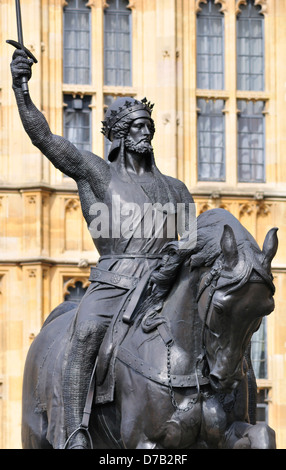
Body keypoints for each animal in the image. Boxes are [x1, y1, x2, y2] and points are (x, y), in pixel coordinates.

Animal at [21, 209, 278, 448]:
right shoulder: (146, 440)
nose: (226, 379)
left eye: (264, 312)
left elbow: (263, 433)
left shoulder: (223, 434)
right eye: (219, 308)